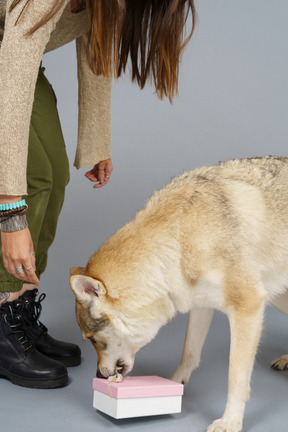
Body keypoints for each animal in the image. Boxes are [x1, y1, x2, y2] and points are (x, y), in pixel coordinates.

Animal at [70, 156, 288, 432]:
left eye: (92, 340)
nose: (98, 375)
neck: (179, 238)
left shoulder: (247, 309)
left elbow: (235, 378)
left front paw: (230, 421)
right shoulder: (201, 305)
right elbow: (189, 353)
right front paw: (174, 384)